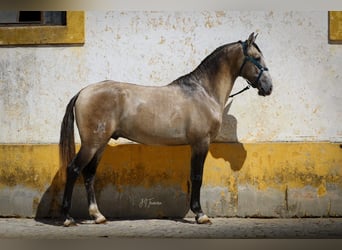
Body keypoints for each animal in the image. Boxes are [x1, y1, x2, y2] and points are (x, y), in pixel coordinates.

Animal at [58, 32, 272, 227]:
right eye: (257, 57)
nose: (268, 87)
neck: (204, 92)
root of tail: (83, 92)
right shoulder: (201, 143)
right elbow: (197, 177)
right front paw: (200, 214)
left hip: (100, 144)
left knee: (89, 174)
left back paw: (98, 216)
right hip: (92, 144)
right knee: (73, 169)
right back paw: (68, 218)